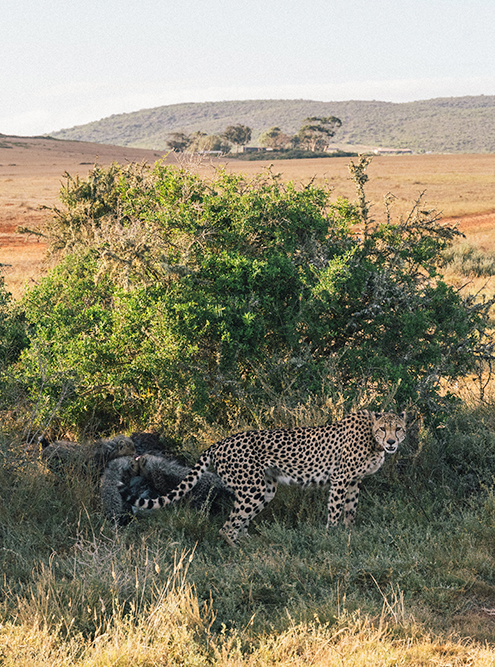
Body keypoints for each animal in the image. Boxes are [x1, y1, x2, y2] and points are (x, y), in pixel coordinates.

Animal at [124, 410, 406, 544]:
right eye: (384, 428)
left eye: (399, 429)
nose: (392, 442)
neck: (372, 439)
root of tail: (219, 442)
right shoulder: (340, 479)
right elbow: (335, 511)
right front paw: (332, 536)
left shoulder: (354, 481)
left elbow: (350, 511)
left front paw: (349, 534)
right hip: (253, 488)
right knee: (227, 526)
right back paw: (239, 552)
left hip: (264, 488)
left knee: (240, 523)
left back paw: (250, 544)